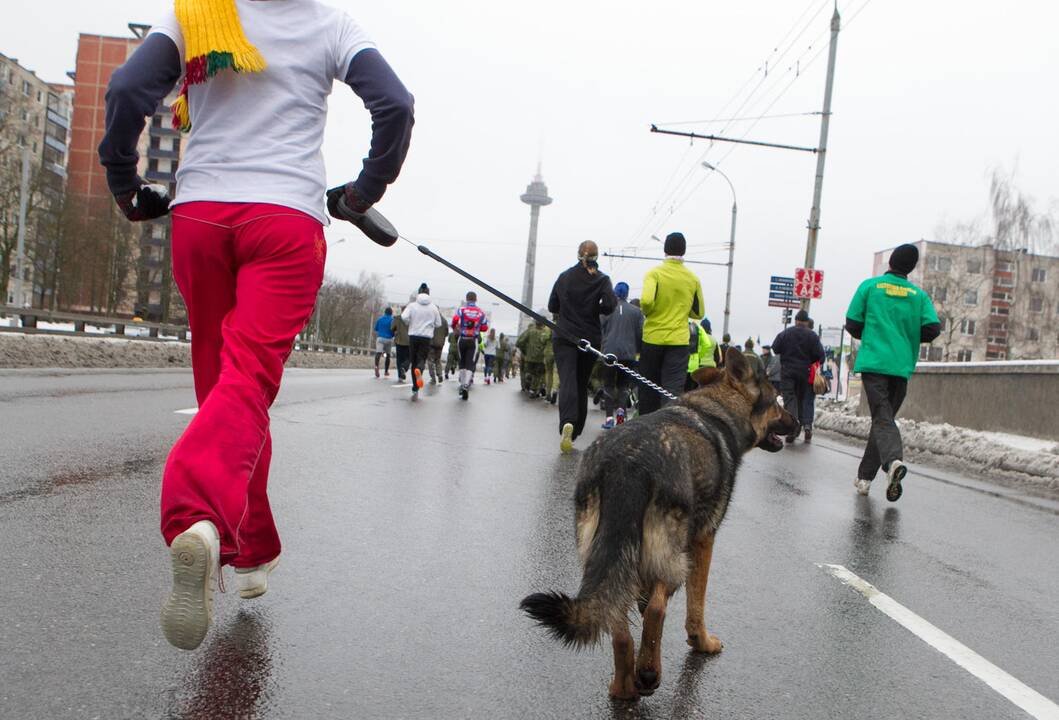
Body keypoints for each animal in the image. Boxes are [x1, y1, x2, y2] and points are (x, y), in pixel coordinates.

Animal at [516, 347, 796, 698]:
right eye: (777, 402)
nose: (797, 424)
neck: (718, 406)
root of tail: (628, 462)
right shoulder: (703, 540)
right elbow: (696, 604)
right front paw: (702, 642)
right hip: (672, 555)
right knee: (657, 610)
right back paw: (649, 673)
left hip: (606, 552)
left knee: (617, 619)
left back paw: (624, 685)